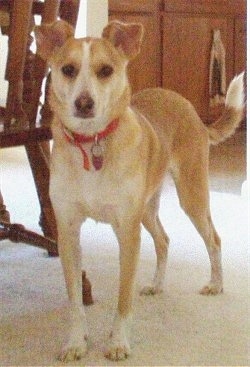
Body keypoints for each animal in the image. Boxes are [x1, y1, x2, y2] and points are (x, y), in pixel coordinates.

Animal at [34, 20, 244, 362]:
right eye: (68, 69)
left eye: (106, 70)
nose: (84, 104)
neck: (93, 142)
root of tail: (190, 108)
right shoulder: (67, 232)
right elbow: (75, 301)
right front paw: (76, 342)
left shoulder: (127, 233)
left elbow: (123, 299)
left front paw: (118, 342)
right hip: (146, 209)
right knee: (164, 240)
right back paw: (157, 285)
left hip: (191, 196)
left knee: (213, 239)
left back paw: (215, 284)